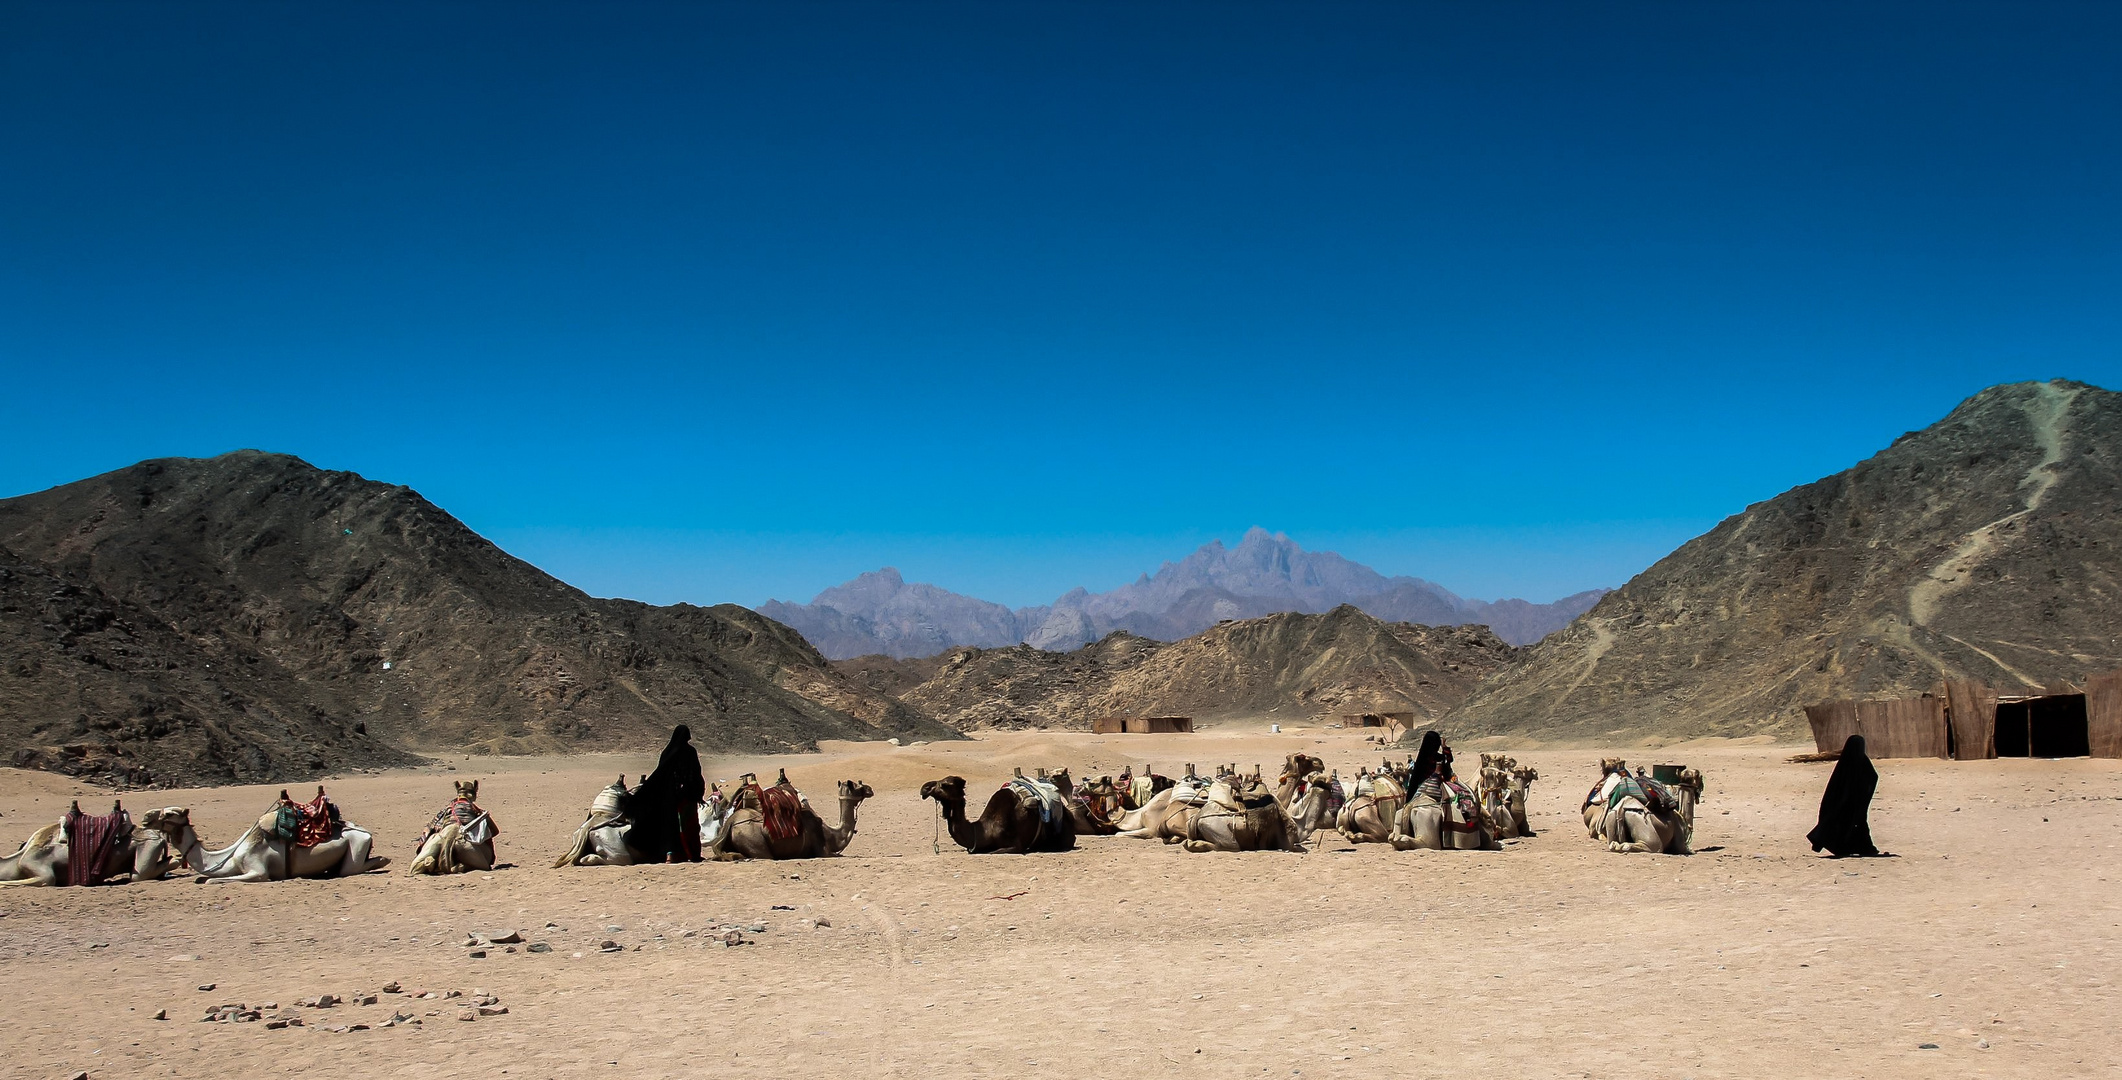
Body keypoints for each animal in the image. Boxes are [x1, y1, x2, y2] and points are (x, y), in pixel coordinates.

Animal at [145, 793, 394, 882]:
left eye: (170, 813)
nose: (146, 817)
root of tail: (365, 832)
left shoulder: (258, 870)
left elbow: (211, 880)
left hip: (355, 846)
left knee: (352, 868)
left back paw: (384, 860)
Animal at [721, 776, 870, 857]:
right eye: (858, 786)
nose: (870, 789)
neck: (832, 835)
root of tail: (731, 823)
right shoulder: (823, 850)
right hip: (754, 842)